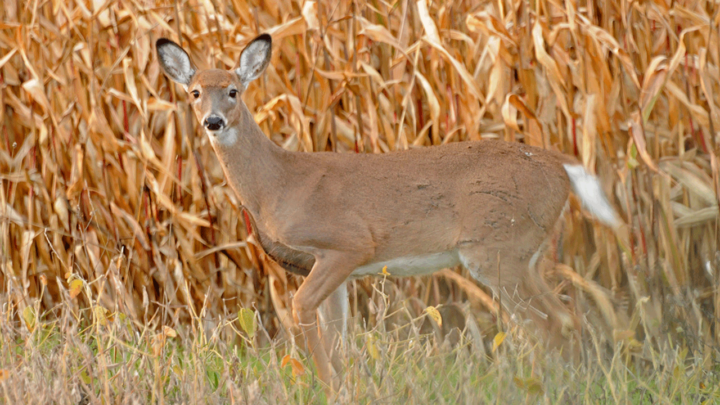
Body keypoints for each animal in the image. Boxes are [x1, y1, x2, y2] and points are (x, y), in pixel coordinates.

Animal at [158, 34, 624, 392]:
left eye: (233, 90)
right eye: (194, 92)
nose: (213, 121)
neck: (279, 183)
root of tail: (559, 164)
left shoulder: (348, 244)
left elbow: (301, 311)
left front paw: (328, 388)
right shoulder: (330, 266)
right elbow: (336, 336)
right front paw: (345, 388)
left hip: (497, 247)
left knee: (554, 321)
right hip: (526, 251)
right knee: (568, 316)